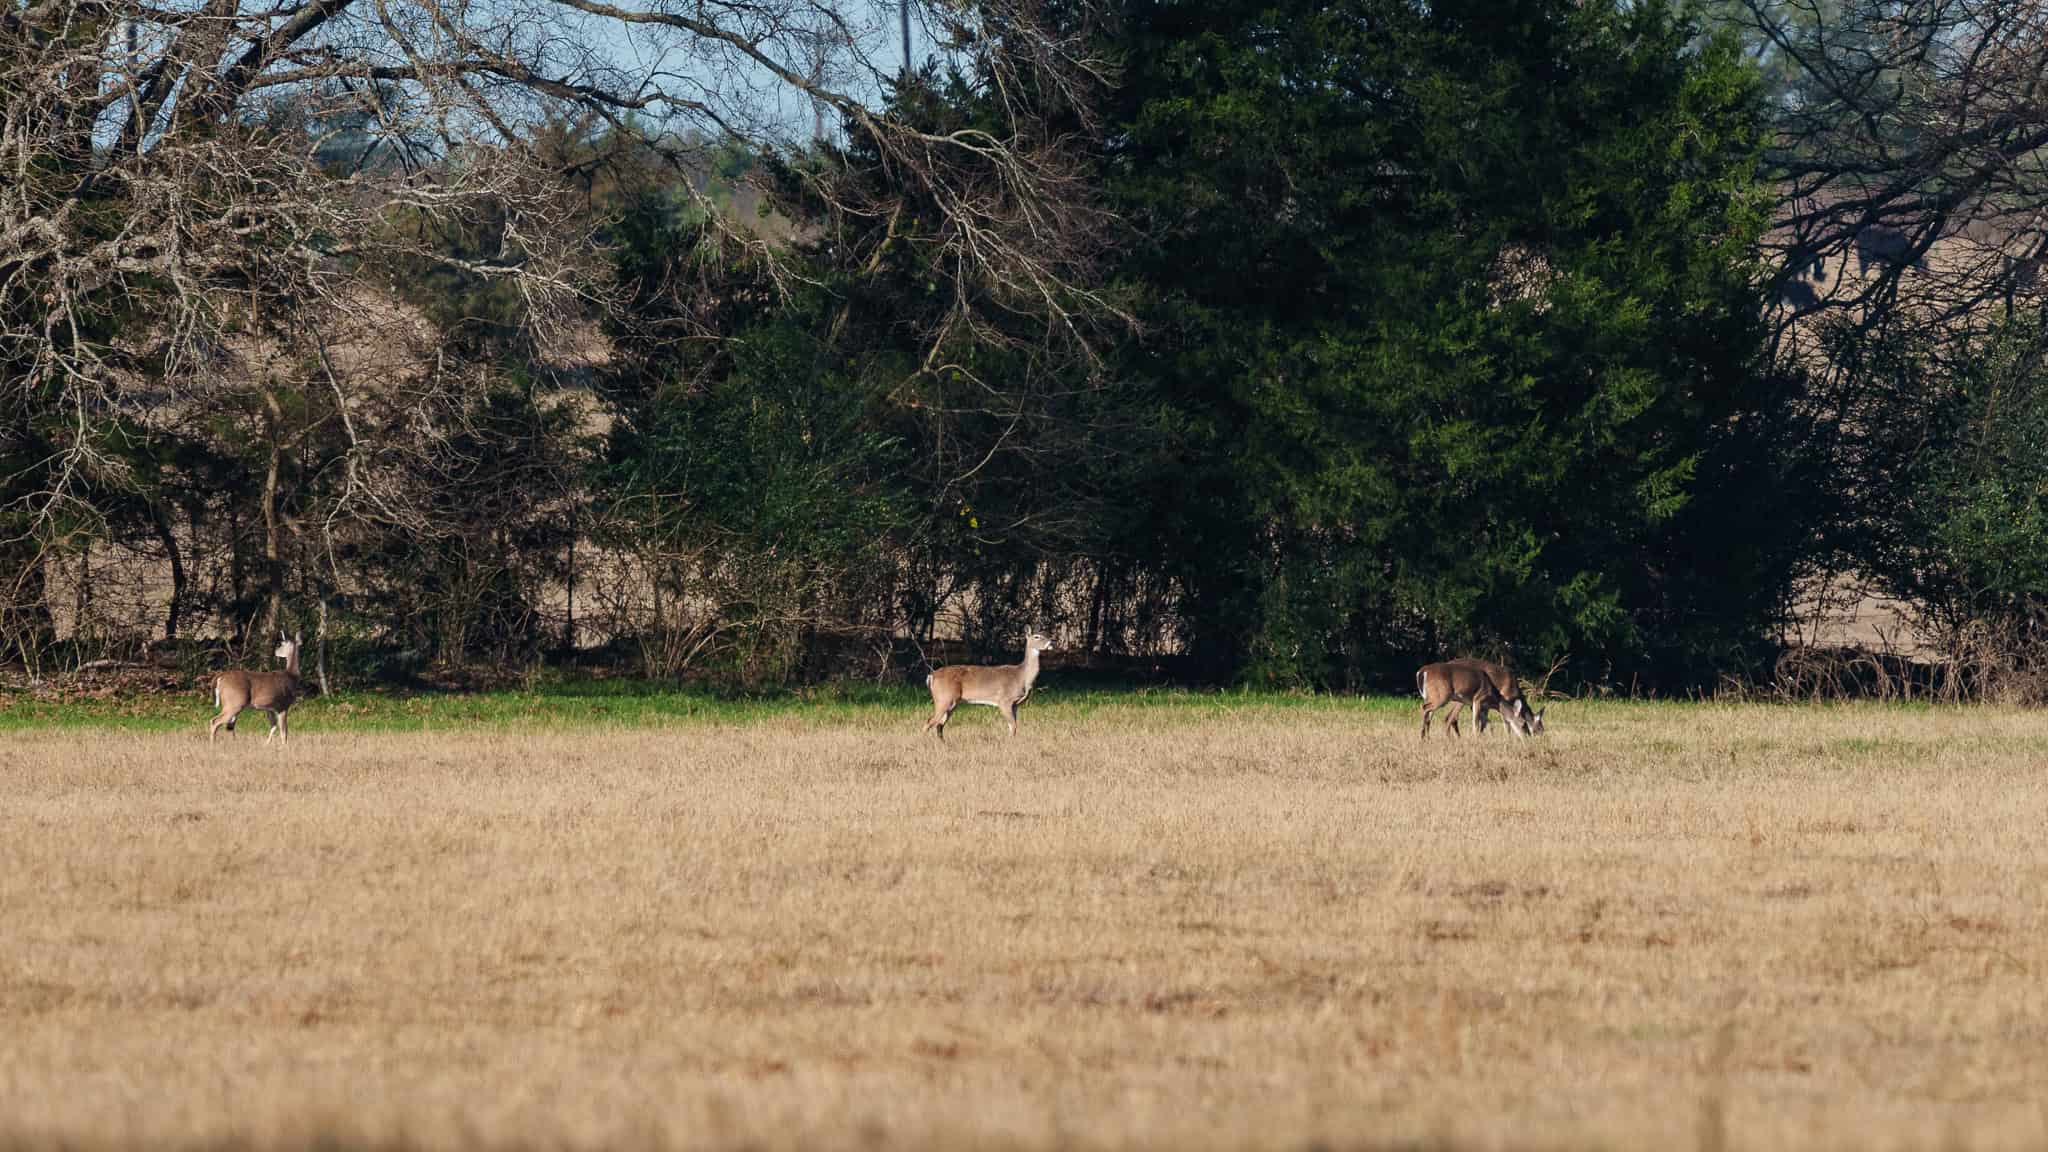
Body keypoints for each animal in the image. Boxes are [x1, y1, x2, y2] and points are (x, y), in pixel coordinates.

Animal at [923, 632, 1054, 740]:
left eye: (1046, 633)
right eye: (1037, 636)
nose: (1051, 642)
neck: (1022, 676)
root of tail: (931, 676)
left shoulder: (1015, 704)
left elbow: (1014, 726)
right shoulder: (1004, 701)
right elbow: (1013, 726)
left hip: (951, 702)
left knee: (939, 725)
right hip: (944, 698)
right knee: (929, 722)